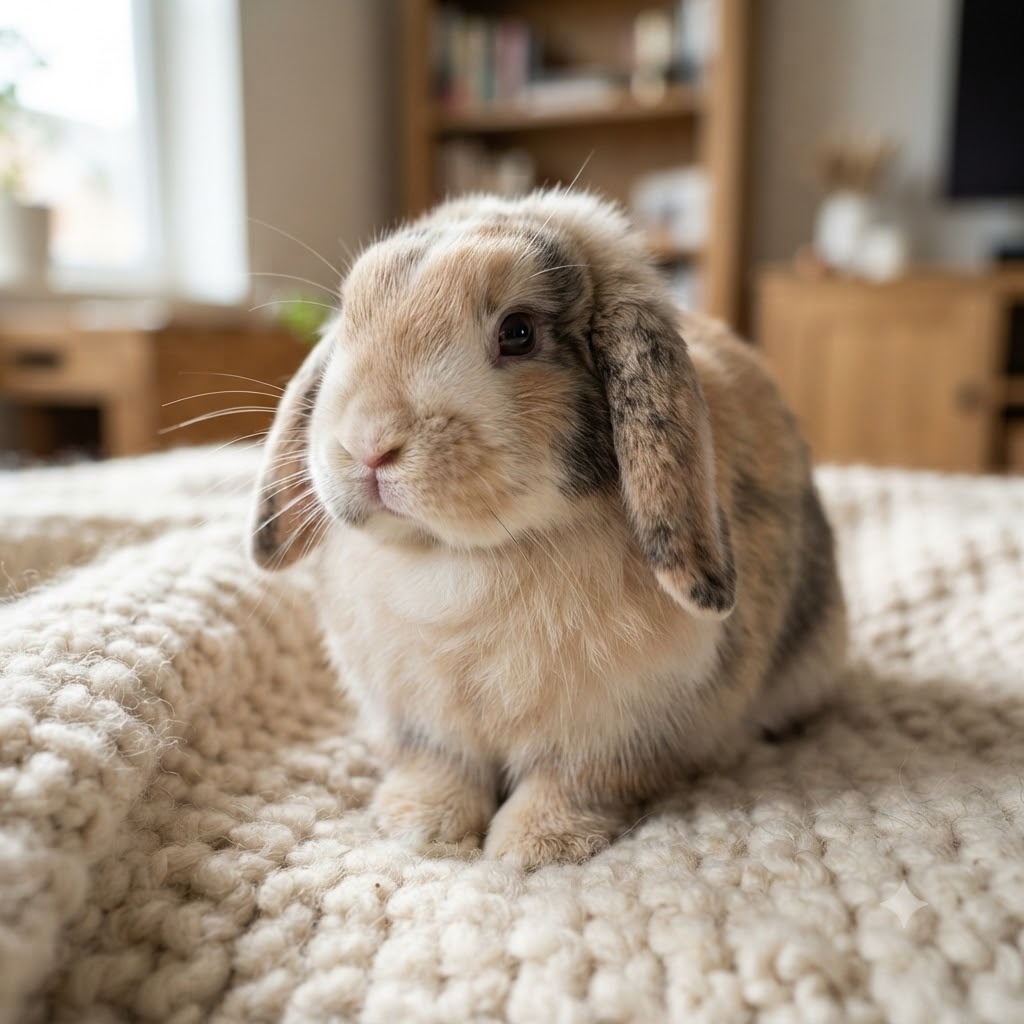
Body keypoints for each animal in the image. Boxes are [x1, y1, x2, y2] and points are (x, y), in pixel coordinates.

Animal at [249, 189, 847, 869]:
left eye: (518, 333)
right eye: (351, 317)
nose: (369, 444)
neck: (466, 557)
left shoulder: (612, 733)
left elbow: (567, 784)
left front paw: (535, 849)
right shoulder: (426, 723)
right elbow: (441, 770)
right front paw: (420, 828)